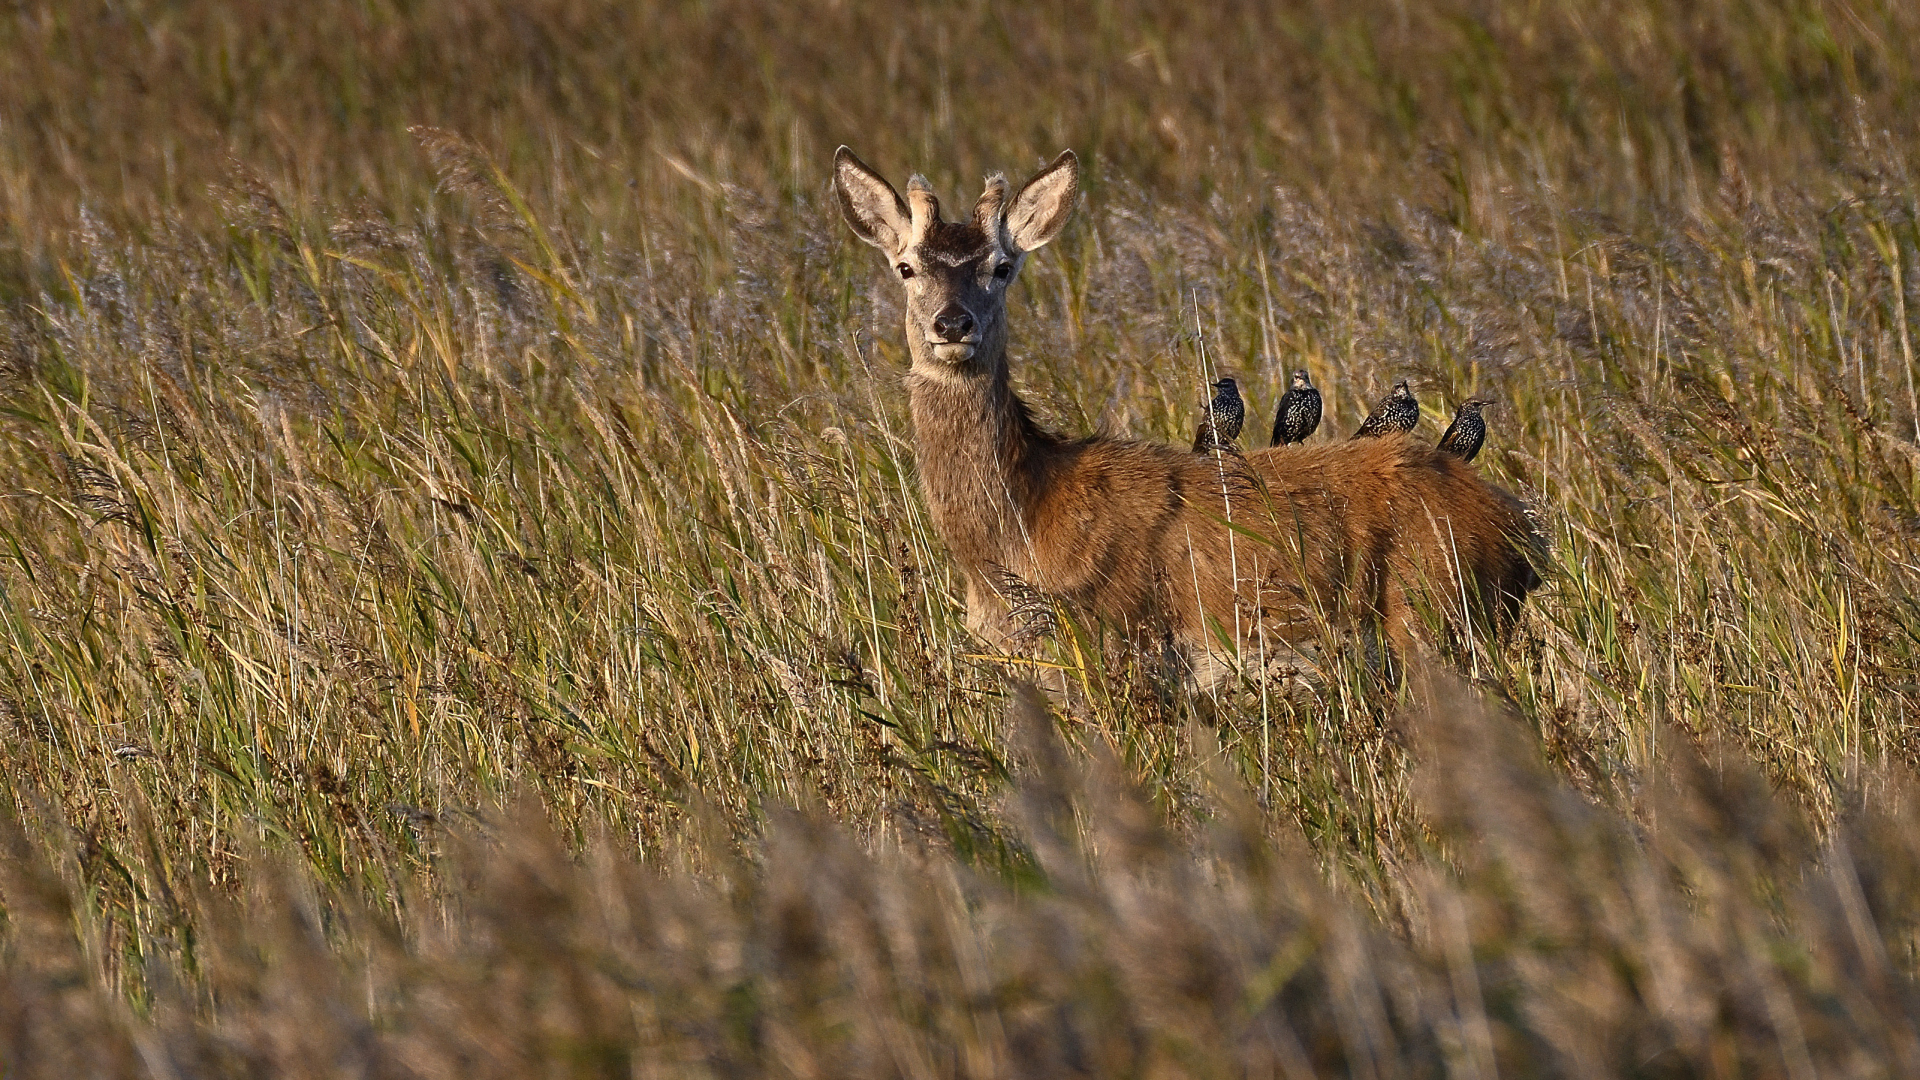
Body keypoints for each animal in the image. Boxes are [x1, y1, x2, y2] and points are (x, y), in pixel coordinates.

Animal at [833, 145, 1536, 680]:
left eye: (1002, 266)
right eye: (905, 267)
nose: (953, 324)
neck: (1019, 529)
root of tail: (1522, 535)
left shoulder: (1120, 639)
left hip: (1432, 614)